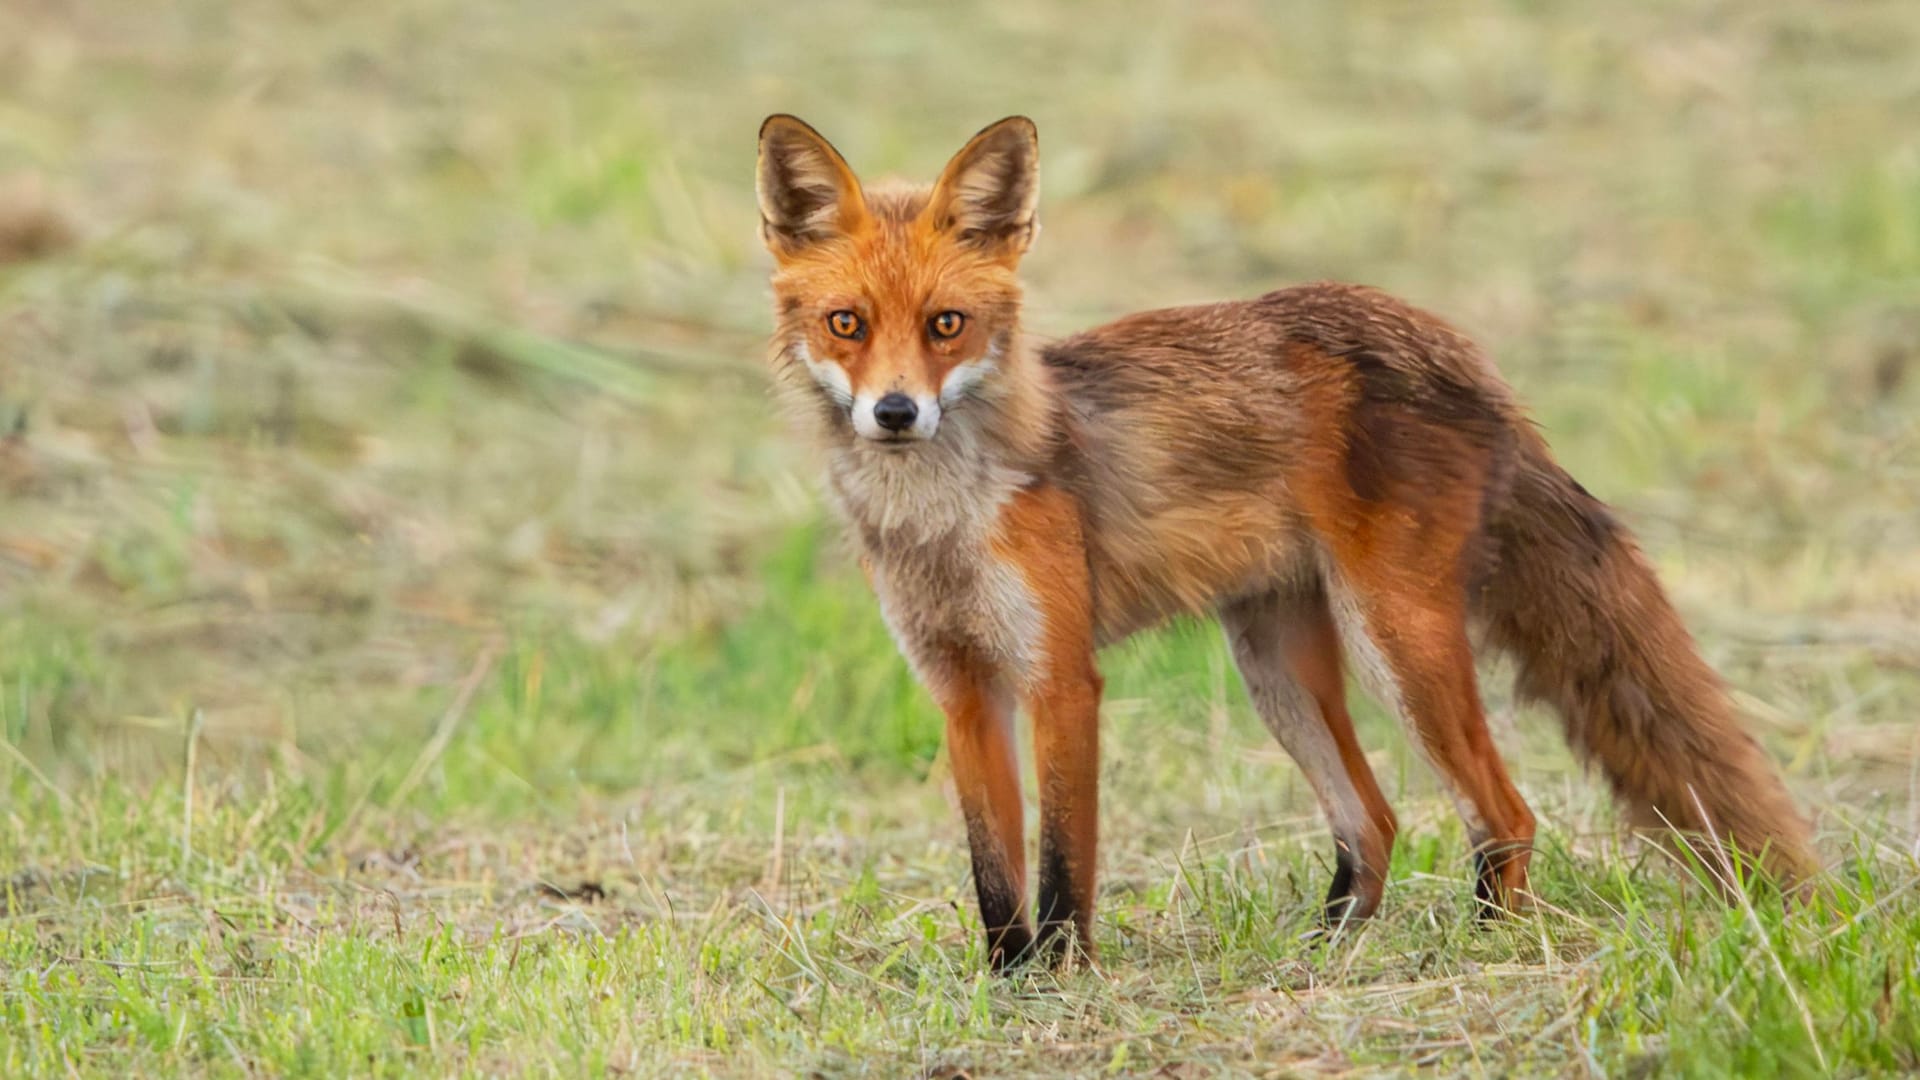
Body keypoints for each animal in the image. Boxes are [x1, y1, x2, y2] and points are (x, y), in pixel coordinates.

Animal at [748, 115, 1812, 968]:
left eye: (947, 325)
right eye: (846, 324)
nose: (895, 414)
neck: (940, 521)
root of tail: (1458, 350)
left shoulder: (1060, 677)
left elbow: (1061, 868)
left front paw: (1062, 981)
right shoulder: (961, 686)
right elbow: (993, 876)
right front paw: (1007, 984)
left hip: (1397, 644)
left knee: (1505, 815)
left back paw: (1479, 951)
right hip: (1277, 664)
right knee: (1375, 821)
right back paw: (1326, 949)